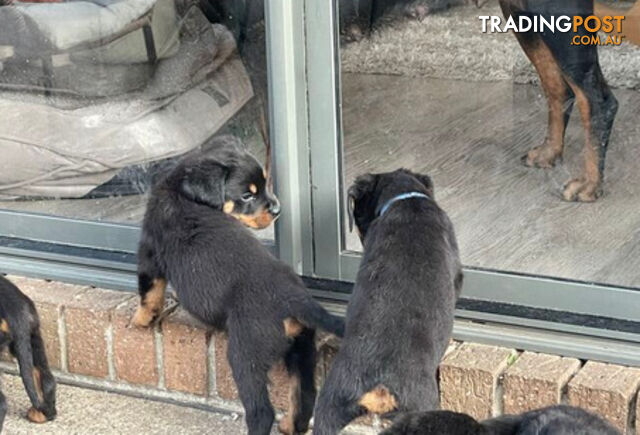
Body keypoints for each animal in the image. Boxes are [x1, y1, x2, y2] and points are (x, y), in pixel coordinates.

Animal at [131, 136, 344, 435]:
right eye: (247, 195)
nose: (277, 210)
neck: (179, 189)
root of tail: (294, 297)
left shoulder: (150, 252)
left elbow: (149, 292)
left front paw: (140, 320)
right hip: (301, 345)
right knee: (304, 395)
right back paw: (290, 425)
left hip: (246, 353)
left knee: (262, 411)